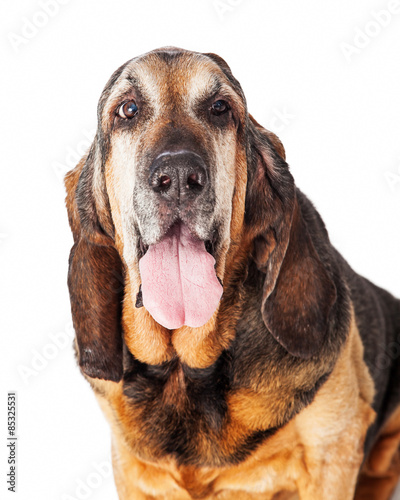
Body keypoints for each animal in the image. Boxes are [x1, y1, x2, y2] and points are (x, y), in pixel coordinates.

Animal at [65, 47, 400, 500]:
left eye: (220, 108)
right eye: (128, 110)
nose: (178, 177)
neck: (184, 370)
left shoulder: (333, 452)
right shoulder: (133, 472)